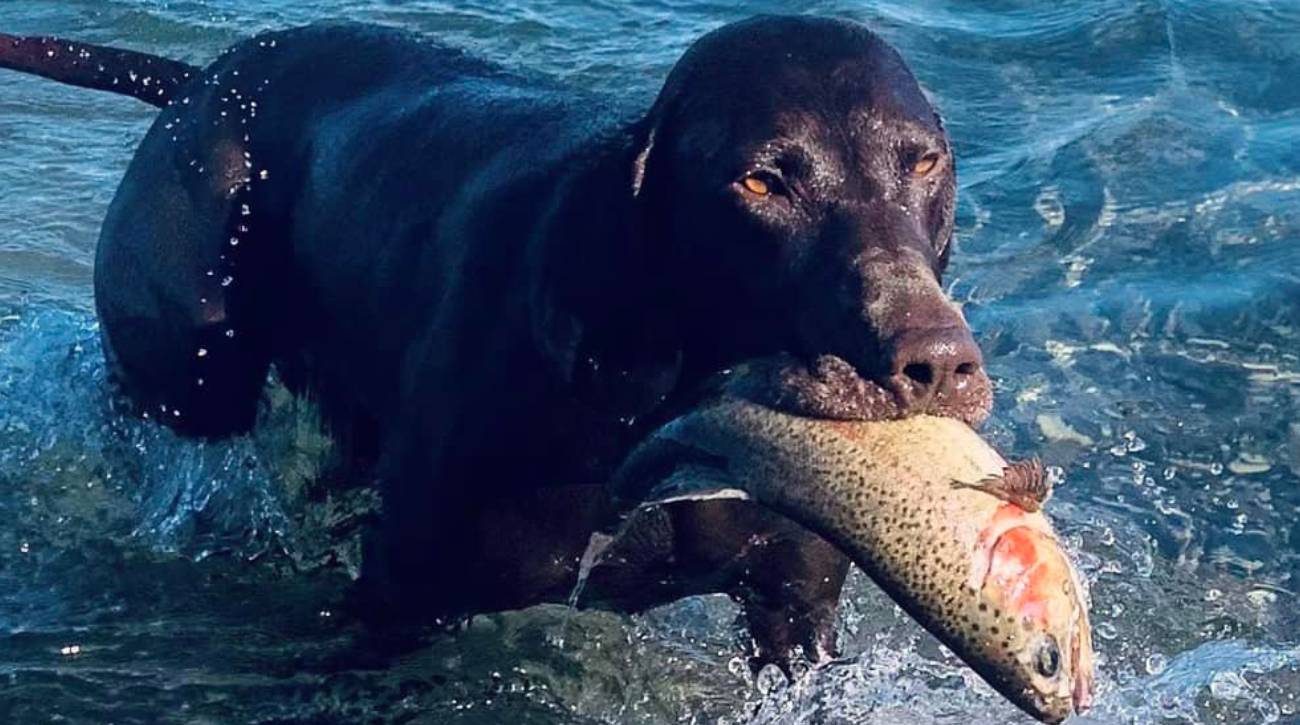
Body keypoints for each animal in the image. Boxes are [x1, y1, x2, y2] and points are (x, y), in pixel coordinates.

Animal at [0, 14, 987, 670]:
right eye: (760, 180)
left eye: (924, 161)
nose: (935, 362)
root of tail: (201, 83)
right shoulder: (403, 594)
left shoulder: (796, 610)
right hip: (188, 375)